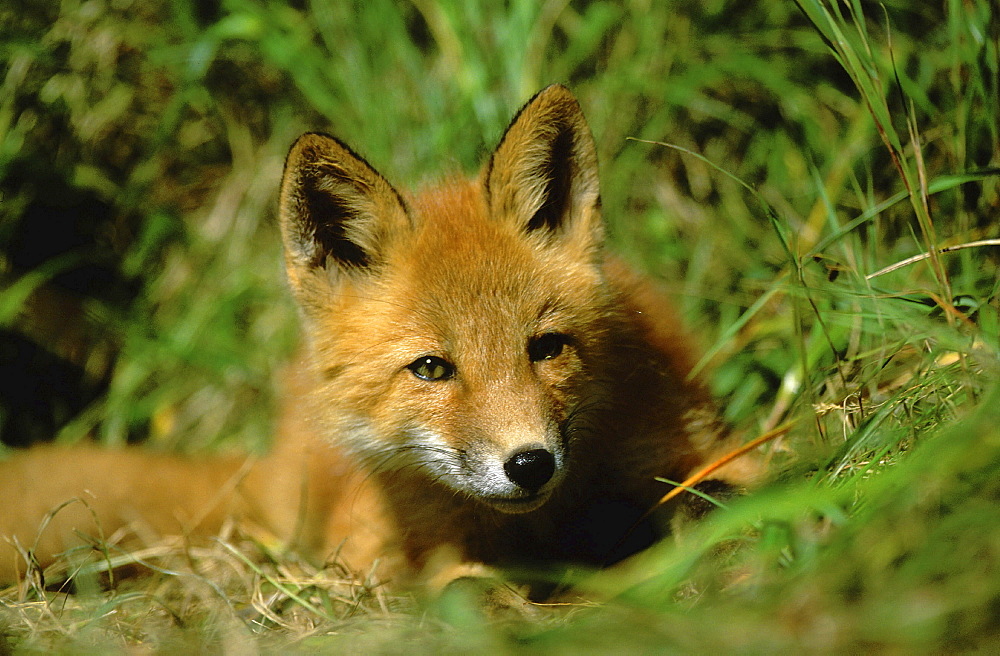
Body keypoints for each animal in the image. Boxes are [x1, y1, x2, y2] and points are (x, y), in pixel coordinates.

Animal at [0, 84, 756, 592]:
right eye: (431, 368)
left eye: (546, 348)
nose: (530, 464)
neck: (542, 524)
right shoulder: (391, 547)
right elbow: (458, 583)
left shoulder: (691, 442)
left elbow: (717, 496)